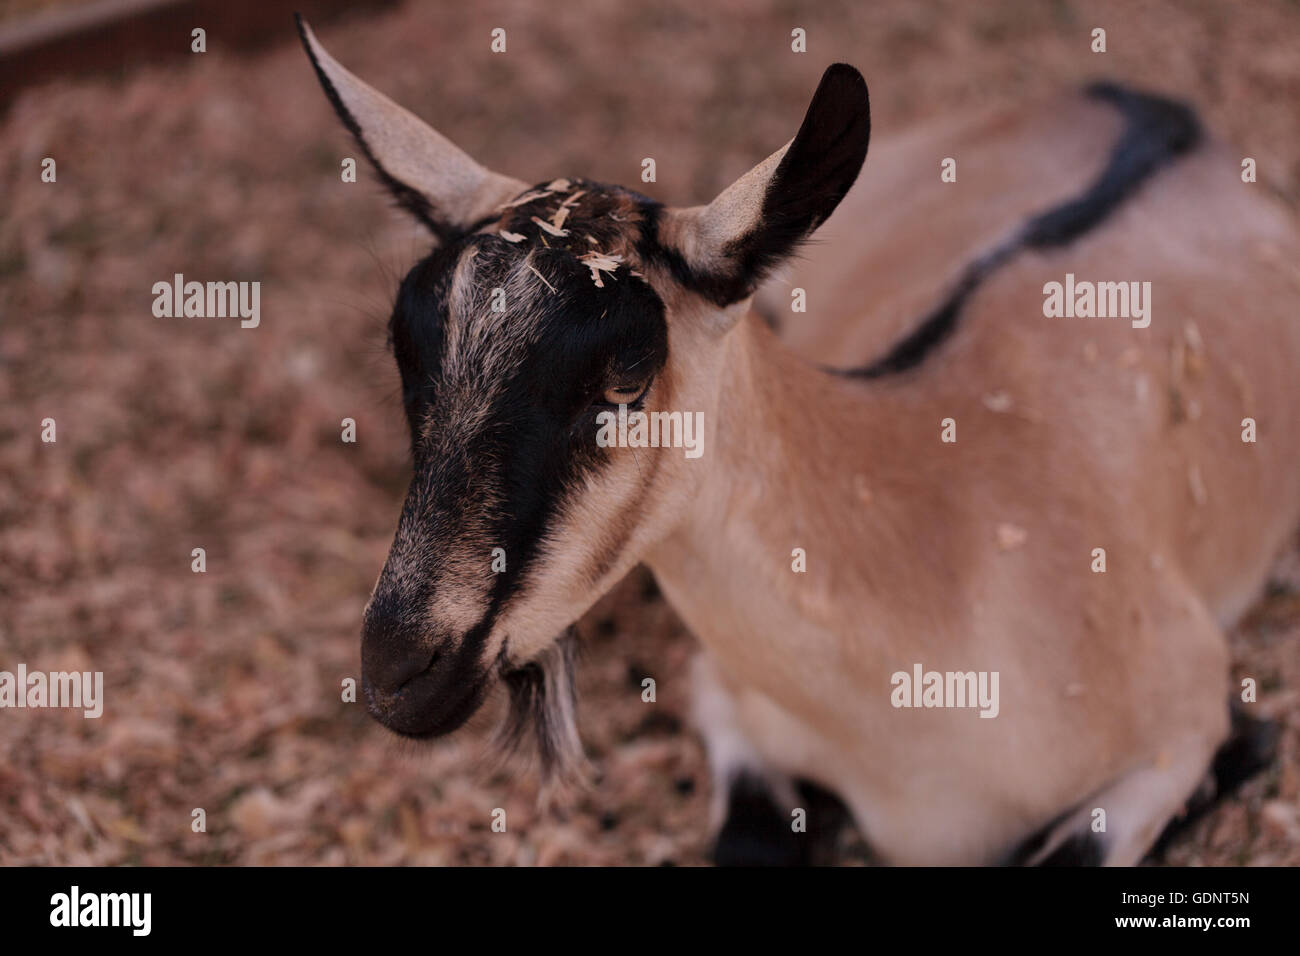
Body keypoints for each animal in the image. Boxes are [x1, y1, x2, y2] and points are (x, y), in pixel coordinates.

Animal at [296, 16, 1300, 865]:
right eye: (405, 351)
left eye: (625, 378)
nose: (398, 671)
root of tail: (1135, 102)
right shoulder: (726, 705)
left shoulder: (1181, 727)